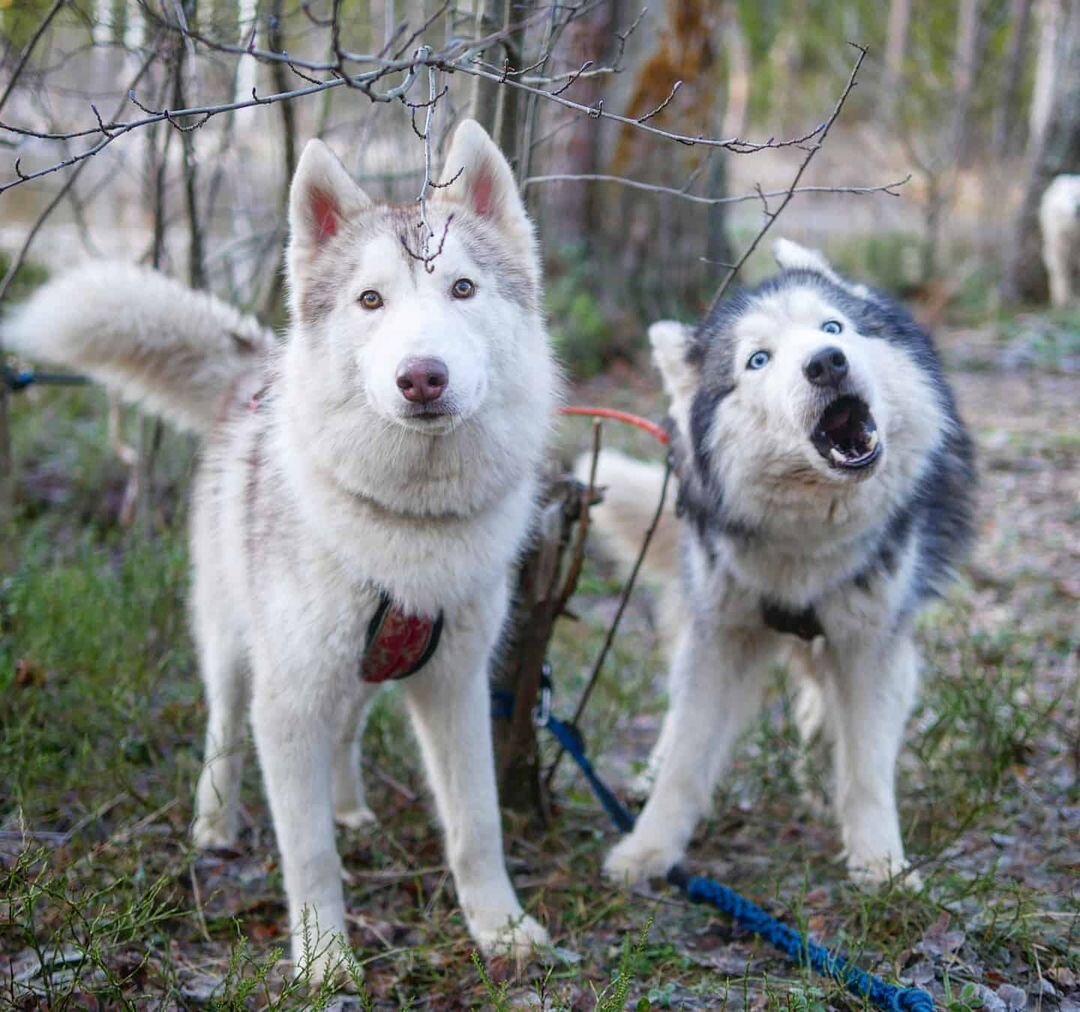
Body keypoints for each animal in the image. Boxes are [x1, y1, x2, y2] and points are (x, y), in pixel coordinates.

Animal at [8, 116, 561, 980]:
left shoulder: (455, 686)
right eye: (371, 300)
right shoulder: (289, 700)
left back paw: (353, 806)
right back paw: (214, 824)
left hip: (352, 671)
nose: (422, 377)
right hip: (236, 648)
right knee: (224, 730)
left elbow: (477, 827)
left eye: (463, 289)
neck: (408, 521)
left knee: (348, 732)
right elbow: (309, 854)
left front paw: (500, 931)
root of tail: (253, 370)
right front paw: (326, 961)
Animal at [587, 240, 976, 889]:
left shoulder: (868, 644)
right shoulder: (721, 638)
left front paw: (881, 864)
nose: (826, 363)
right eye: (758, 360)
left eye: (832, 327)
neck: (807, 546)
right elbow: (688, 756)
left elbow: (867, 767)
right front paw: (648, 850)